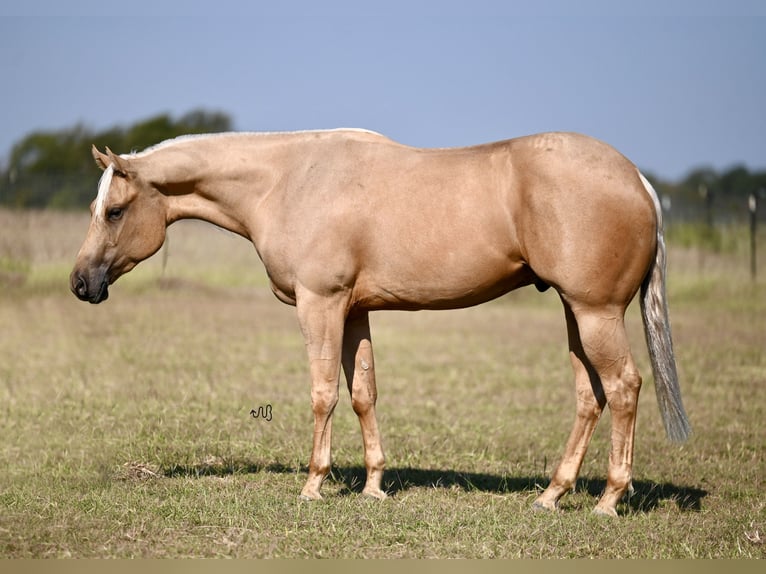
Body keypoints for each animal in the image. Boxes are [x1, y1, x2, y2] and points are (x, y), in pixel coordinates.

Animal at [72, 130, 692, 516]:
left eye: (115, 211)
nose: (81, 283)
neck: (288, 180)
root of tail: (638, 180)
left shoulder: (319, 305)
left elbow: (323, 393)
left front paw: (313, 485)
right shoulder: (354, 312)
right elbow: (363, 394)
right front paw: (373, 487)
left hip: (594, 312)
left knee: (624, 388)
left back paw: (608, 500)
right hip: (574, 312)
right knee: (591, 397)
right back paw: (551, 495)